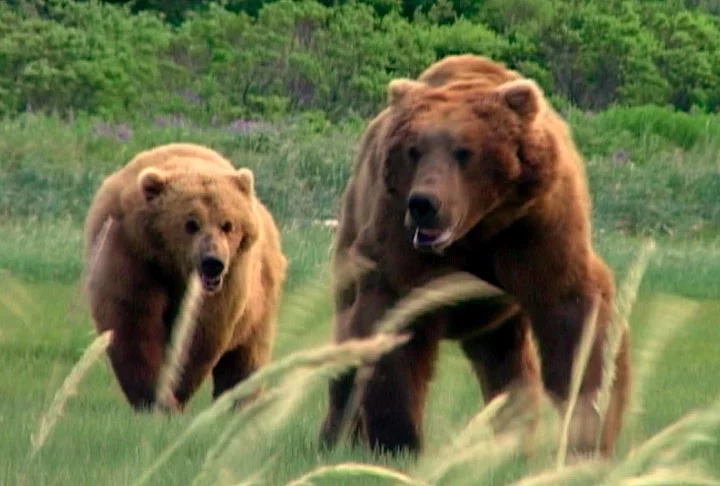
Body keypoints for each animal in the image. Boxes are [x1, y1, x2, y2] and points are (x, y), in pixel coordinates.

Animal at [84, 142, 286, 412]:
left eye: (228, 224)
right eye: (191, 223)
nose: (212, 263)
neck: (175, 266)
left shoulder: (228, 282)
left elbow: (197, 334)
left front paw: (174, 393)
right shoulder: (133, 256)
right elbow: (133, 324)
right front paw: (152, 398)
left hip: (259, 301)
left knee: (247, 356)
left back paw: (239, 402)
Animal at [320, 55, 632, 458]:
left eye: (464, 151)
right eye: (414, 150)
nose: (424, 204)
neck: (477, 228)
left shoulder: (537, 229)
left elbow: (575, 318)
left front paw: (588, 436)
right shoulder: (401, 242)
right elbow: (395, 328)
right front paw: (399, 443)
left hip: (496, 316)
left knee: (508, 366)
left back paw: (512, 441)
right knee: (347, 344)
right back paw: (334, 437)